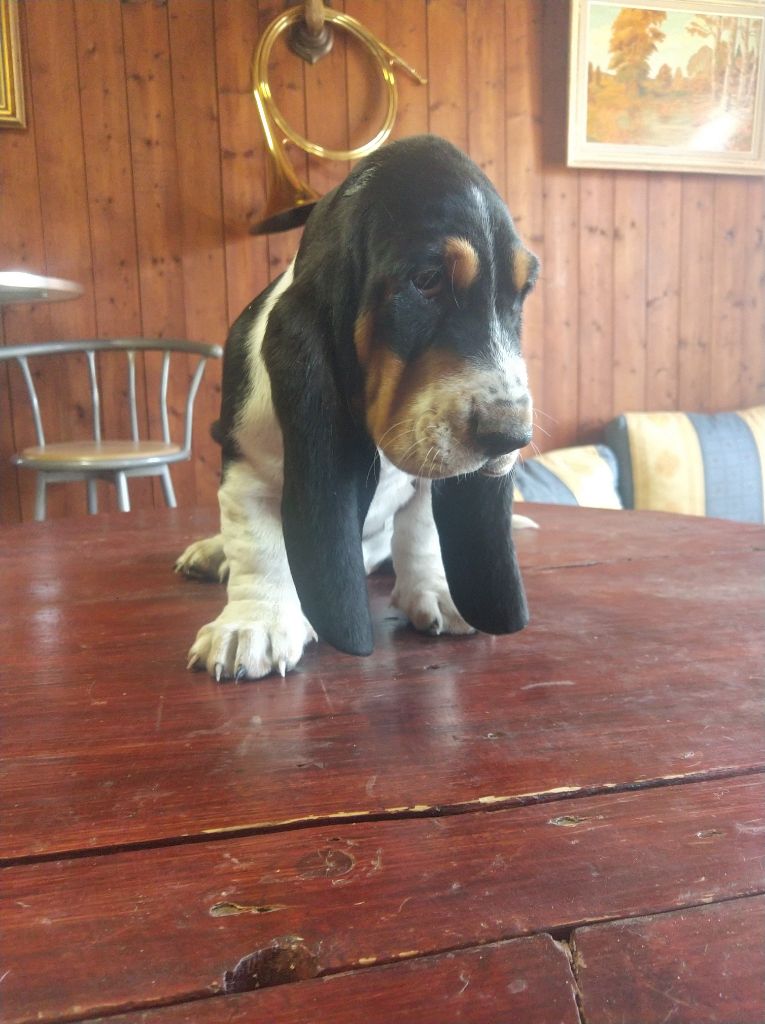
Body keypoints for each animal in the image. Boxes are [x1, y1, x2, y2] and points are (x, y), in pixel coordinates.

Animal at [176, 135, 539, 681]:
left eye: (523, 291)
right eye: (426, 280)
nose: (512, 437)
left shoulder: (432, 479)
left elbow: (420, 532)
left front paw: (434, 590)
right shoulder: (248, 467)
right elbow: (259, 548)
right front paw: (255, 624)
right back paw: (211, 552)